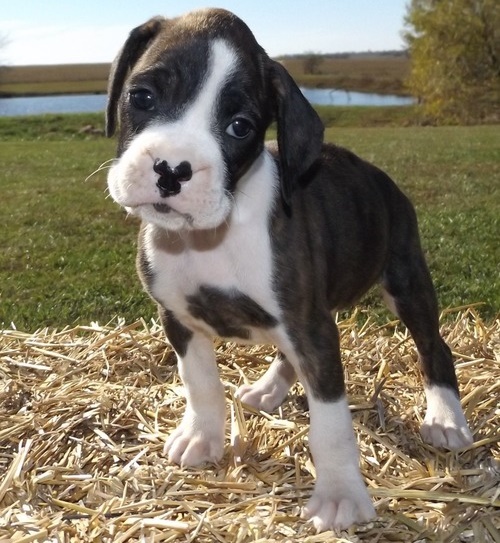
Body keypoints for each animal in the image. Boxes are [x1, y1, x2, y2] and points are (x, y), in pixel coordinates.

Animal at [105, 8, 472, 532]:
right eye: (142, 97)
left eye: (240, 126)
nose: (173, 169)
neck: (211, 237)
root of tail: (382, 178)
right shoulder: (178, 316)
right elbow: (201, 382)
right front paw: (201, 436)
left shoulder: (310, 327)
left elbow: (332, 424)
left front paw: (340, 494)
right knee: (286, 355)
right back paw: (267, 389)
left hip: (405, 280)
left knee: (433, 347)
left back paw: (445, 418)